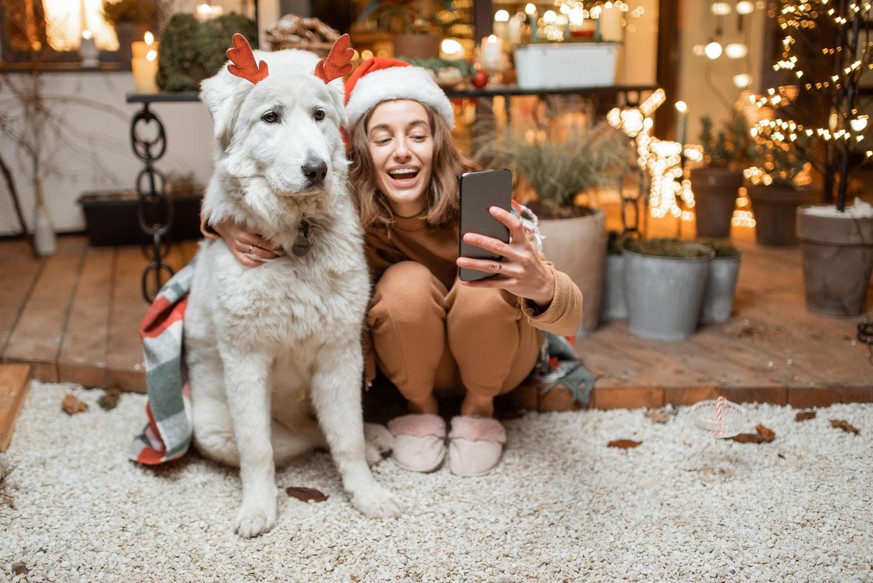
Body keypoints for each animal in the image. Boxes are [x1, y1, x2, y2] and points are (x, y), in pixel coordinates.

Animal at [186, 36, 402, 540]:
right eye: (271, 117)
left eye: (320, 115)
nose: (316, 169)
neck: (295, 240)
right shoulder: (246, 362)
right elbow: (258, 450)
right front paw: (258, 509)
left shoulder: (341, 354)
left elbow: (347, 438)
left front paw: (366, 495)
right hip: (209, 429)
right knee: (298, 438)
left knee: (335, 431)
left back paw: (375, 441)